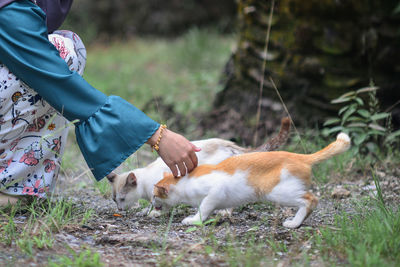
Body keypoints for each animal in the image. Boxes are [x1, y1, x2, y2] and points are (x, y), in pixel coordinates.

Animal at [104, 118, 290, 213]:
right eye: (114, 200)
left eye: (122, 199)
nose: (119, 209)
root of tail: (230, 145)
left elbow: (155, 204)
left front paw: (150, 213)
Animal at [153, 133, 350, 229]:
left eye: (154, 196)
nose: (151, 204)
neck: (184, 182)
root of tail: (301, 157)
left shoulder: (216, 191)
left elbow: (204, 208)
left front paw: (194, 220)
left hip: (277, 192)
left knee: (311, 199)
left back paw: (294, 223)